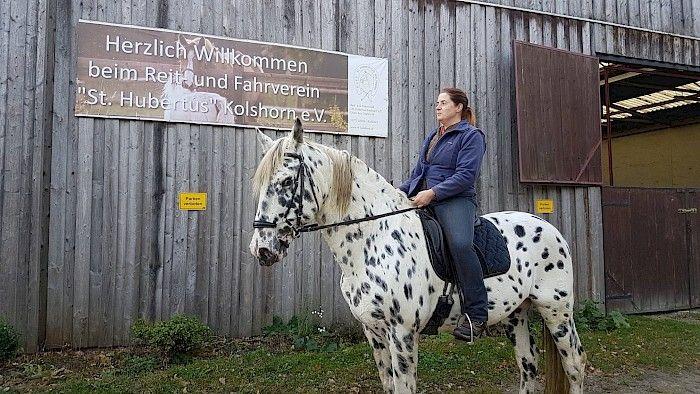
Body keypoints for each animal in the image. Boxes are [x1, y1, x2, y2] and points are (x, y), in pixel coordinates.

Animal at [249, 118, 588, 392]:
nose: (262, 248)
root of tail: (549, 227)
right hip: (516, 314)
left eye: (287, 181)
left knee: (575, 364)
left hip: (557, 310)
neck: (373, 240)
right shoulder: (374, 332)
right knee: (528, 366)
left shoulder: (402, 333)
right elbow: (388, 384)